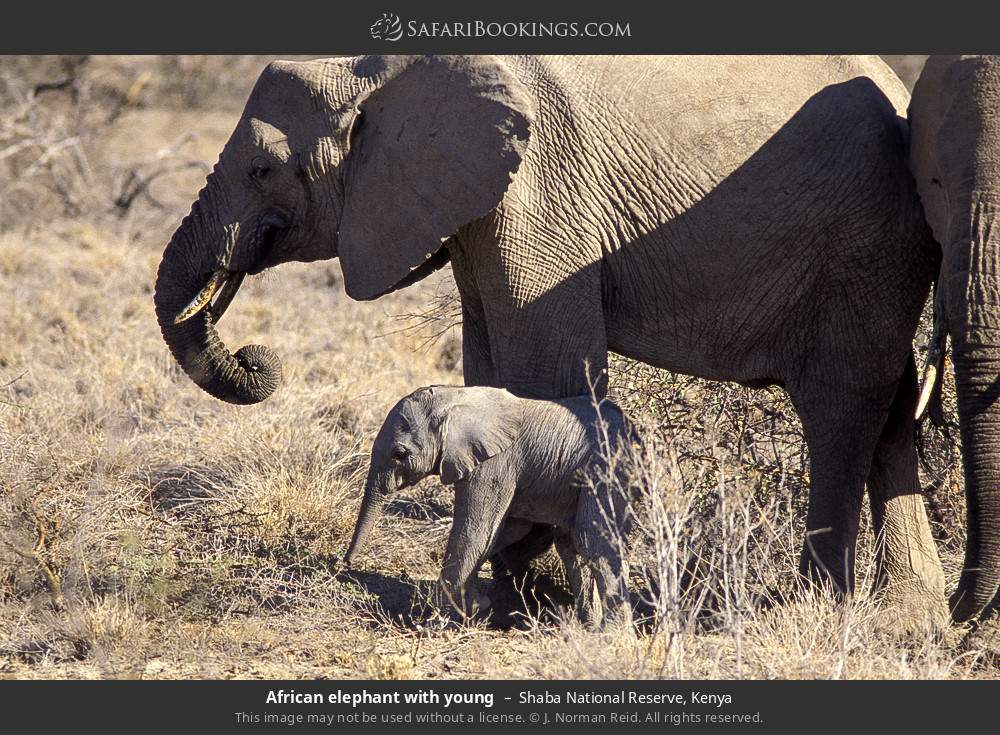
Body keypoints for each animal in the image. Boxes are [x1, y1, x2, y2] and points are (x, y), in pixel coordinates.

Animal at [343, 386, 637, 627]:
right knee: (570, 545)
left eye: (400, 454)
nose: (345, 564)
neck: (454, 398)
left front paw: (443, 619)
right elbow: (507, 531)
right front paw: (477, 605)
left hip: (606, 471)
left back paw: (612, 636)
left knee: (591, 541)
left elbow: (476, 529)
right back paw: (588, 626)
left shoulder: (492, 464)